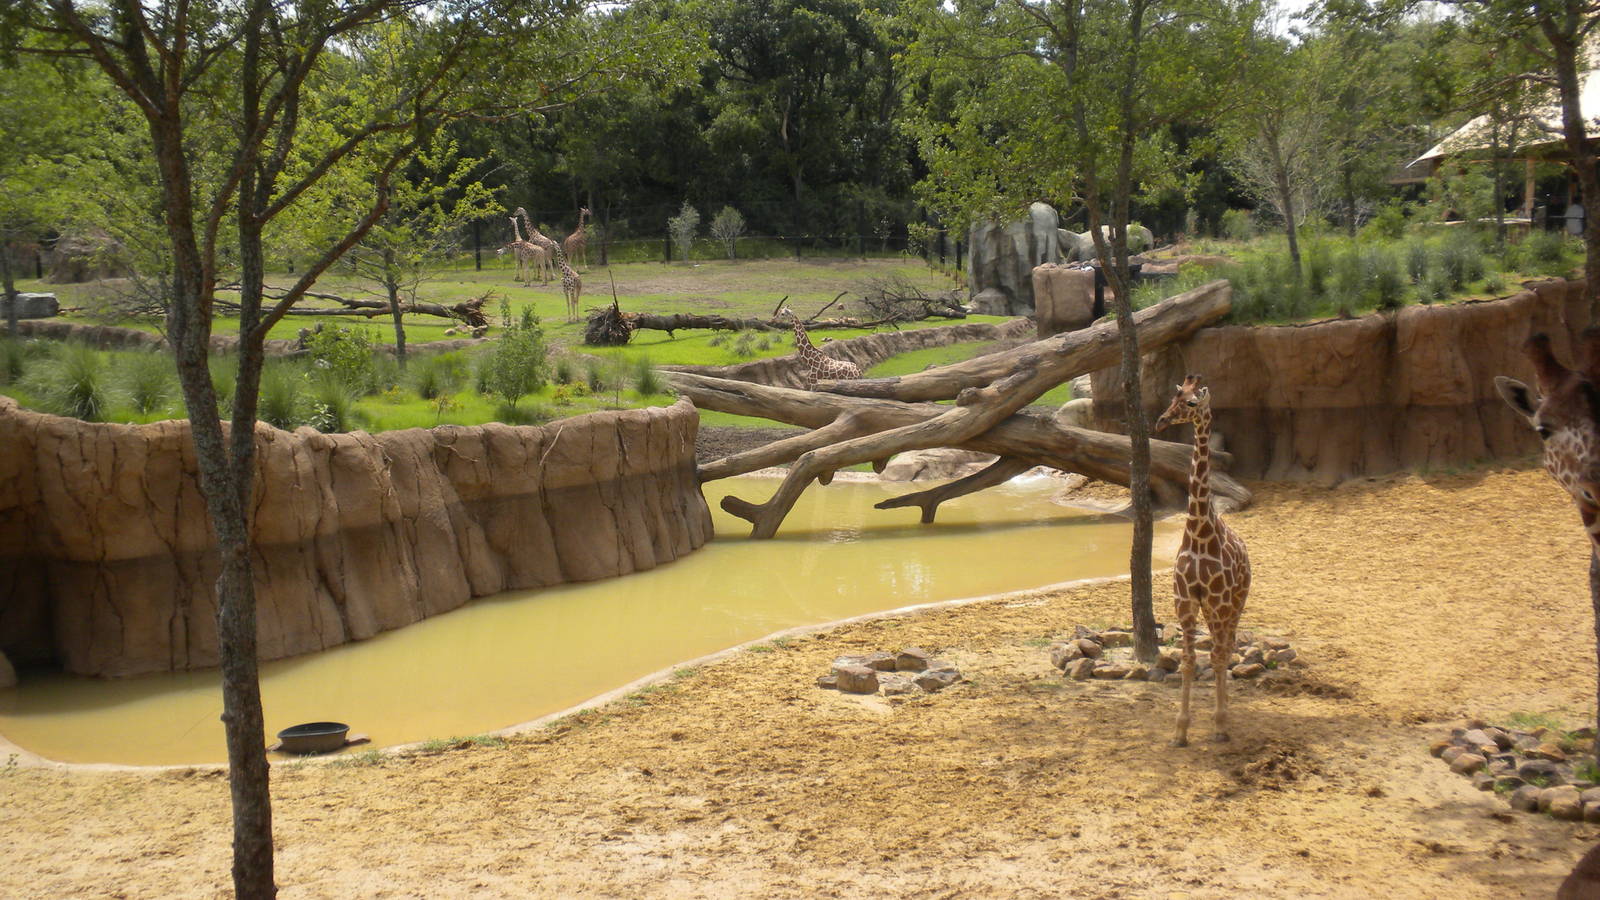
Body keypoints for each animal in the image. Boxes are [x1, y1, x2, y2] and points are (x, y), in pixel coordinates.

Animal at [1154, 374, 1252, 747]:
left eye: (1192, 402)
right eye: (1173, 397)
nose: (1161, 421)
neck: (1198, 532)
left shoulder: (1220, 600)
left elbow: (1216, 656)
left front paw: (1220, 724)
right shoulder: (1186, 599)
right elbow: (1188, 660)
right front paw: (1180, 731)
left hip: (1234, 602)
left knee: (1226, 648)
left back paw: (1224, 722)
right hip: (1212, 608)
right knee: (1220, 647)